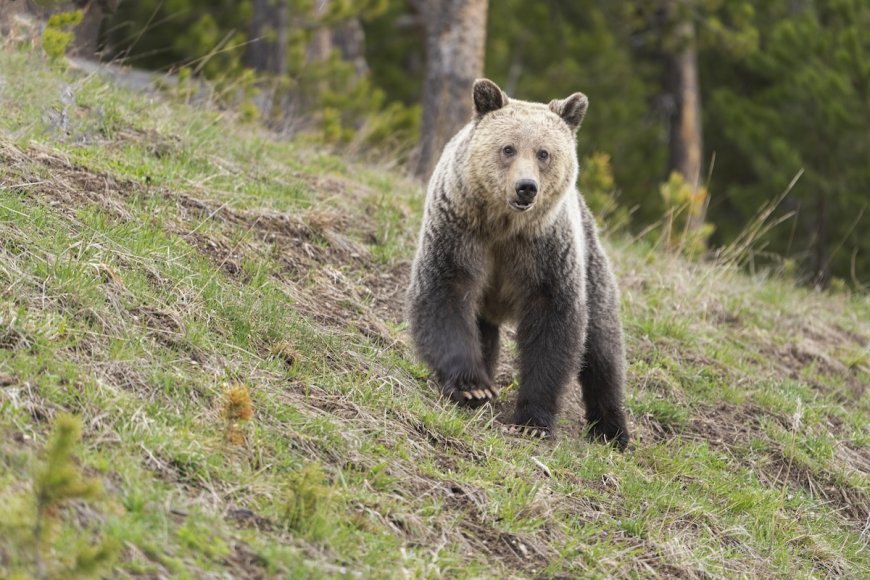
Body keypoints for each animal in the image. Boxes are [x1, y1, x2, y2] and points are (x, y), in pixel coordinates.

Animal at [406, 78, 629, 448]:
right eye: (508, 148)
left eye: (543, 153)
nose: (526, 188)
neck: (504, 226)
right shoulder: (459, 231)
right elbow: (444, 293)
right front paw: (472, 388)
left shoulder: (546, 251)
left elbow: (554, 324)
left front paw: (532, 420)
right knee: (484, 331)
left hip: (592, 265)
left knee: (602, 348)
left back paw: (612, 429)